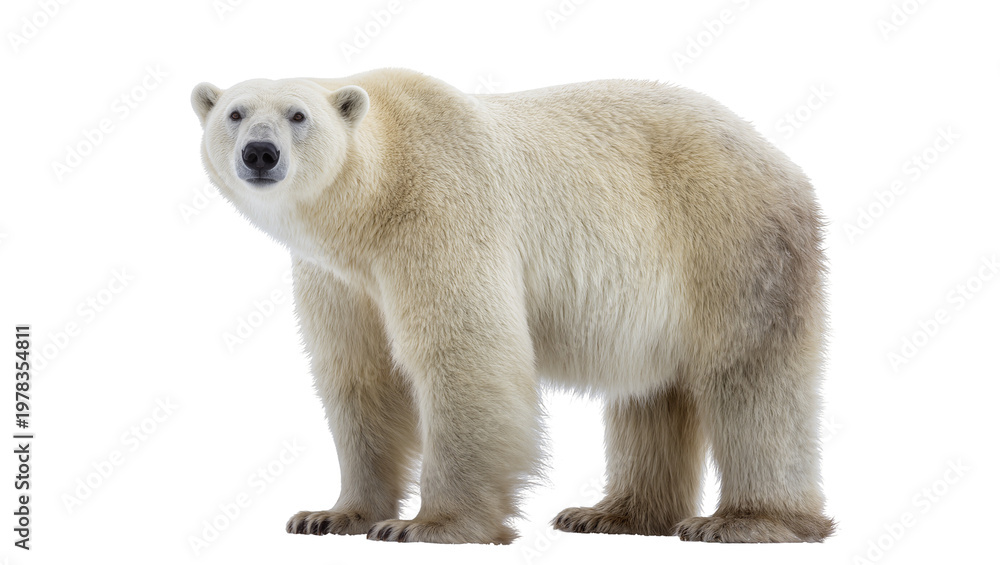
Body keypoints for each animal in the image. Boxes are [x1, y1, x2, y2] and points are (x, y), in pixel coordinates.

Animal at [191, 68, 834, 545]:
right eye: (235, 113)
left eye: (298, 116)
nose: (260, 153)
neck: (373, 200)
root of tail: (782, 160)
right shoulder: (339, 277)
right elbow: (359, 376)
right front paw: (330, 515)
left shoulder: (440, 209)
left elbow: (465, 355)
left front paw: (427, 526)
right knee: (649, 392)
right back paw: (611, 514)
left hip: (729, 240)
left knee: (750, 378)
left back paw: (746, 521)